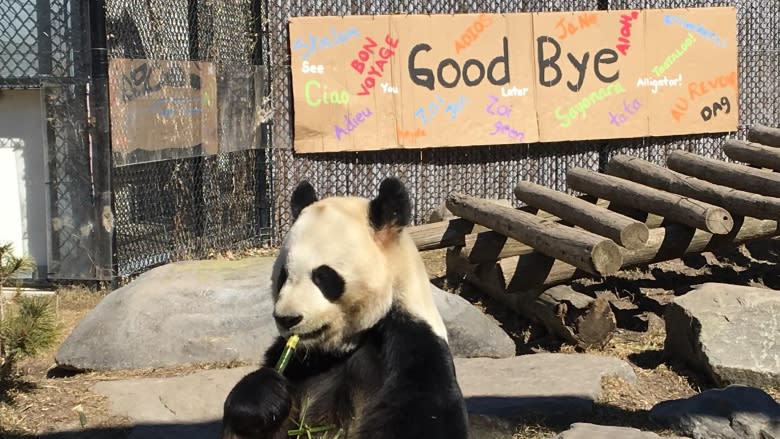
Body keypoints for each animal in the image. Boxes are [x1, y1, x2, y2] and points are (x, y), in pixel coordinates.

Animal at [224, 177, 470, 438]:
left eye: (323, 276)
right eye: (283, 276)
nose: (287, 319)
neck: (341, 347)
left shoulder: (414, 344)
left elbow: (425, 417)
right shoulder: (299, 361)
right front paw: (267, 394)